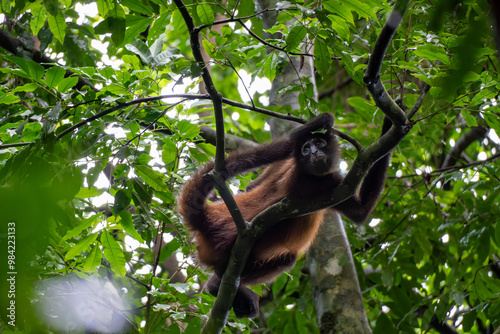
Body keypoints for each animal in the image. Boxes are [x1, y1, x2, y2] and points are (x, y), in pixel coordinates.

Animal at [178, 114, 392, 318]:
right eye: (306, 149)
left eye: (319, 143)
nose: (314, 152)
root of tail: (208, 217)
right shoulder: (317, 180)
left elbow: (360, 212)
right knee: (285, 257)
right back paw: (217, 284)